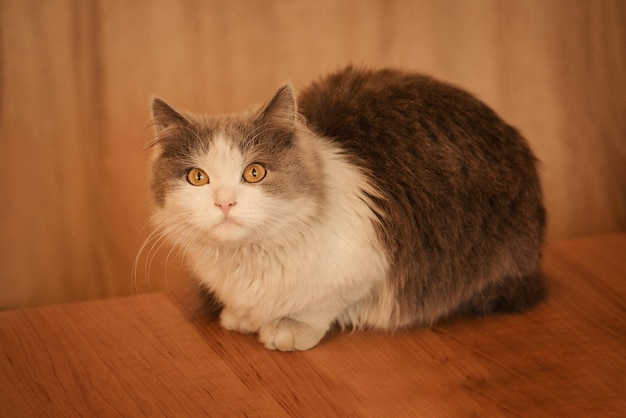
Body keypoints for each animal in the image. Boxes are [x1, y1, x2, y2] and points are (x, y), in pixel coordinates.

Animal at [146, 66, 540, 352]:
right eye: (198, 177)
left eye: (254, 172)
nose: (225, 201)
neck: (247, 261)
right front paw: (241, 315)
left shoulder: (366, 266)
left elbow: (322, 304)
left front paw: (288, 328)